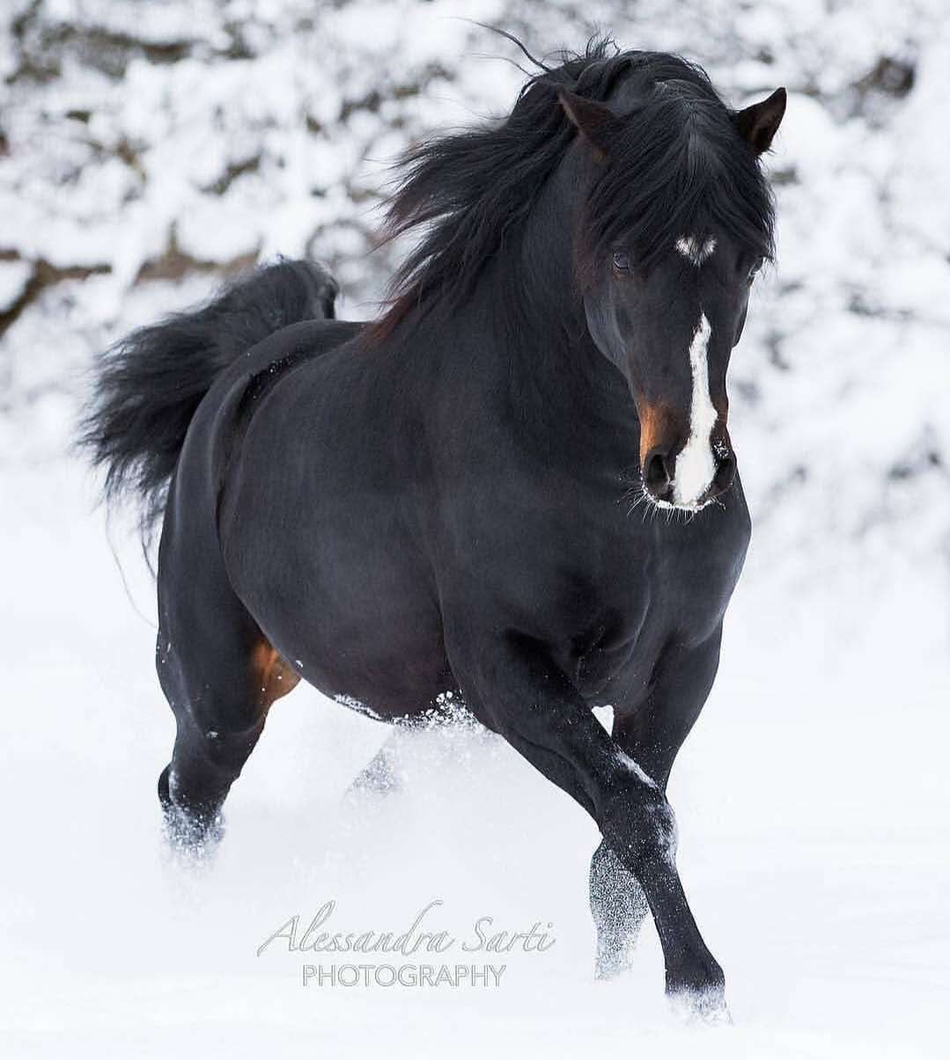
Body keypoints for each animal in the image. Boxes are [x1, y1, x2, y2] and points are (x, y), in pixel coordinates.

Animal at [85, 43, 788, 1017]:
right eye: (620, 257)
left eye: (747, 263)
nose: (684, 468)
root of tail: (240, 380)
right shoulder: (507, 665)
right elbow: (638, 814)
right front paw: (699, 992)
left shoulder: (681, 662)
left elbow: (621, 844)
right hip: (221, 692)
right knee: (190, 801)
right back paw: (182, 946)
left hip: (435, 724)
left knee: (357, 801)